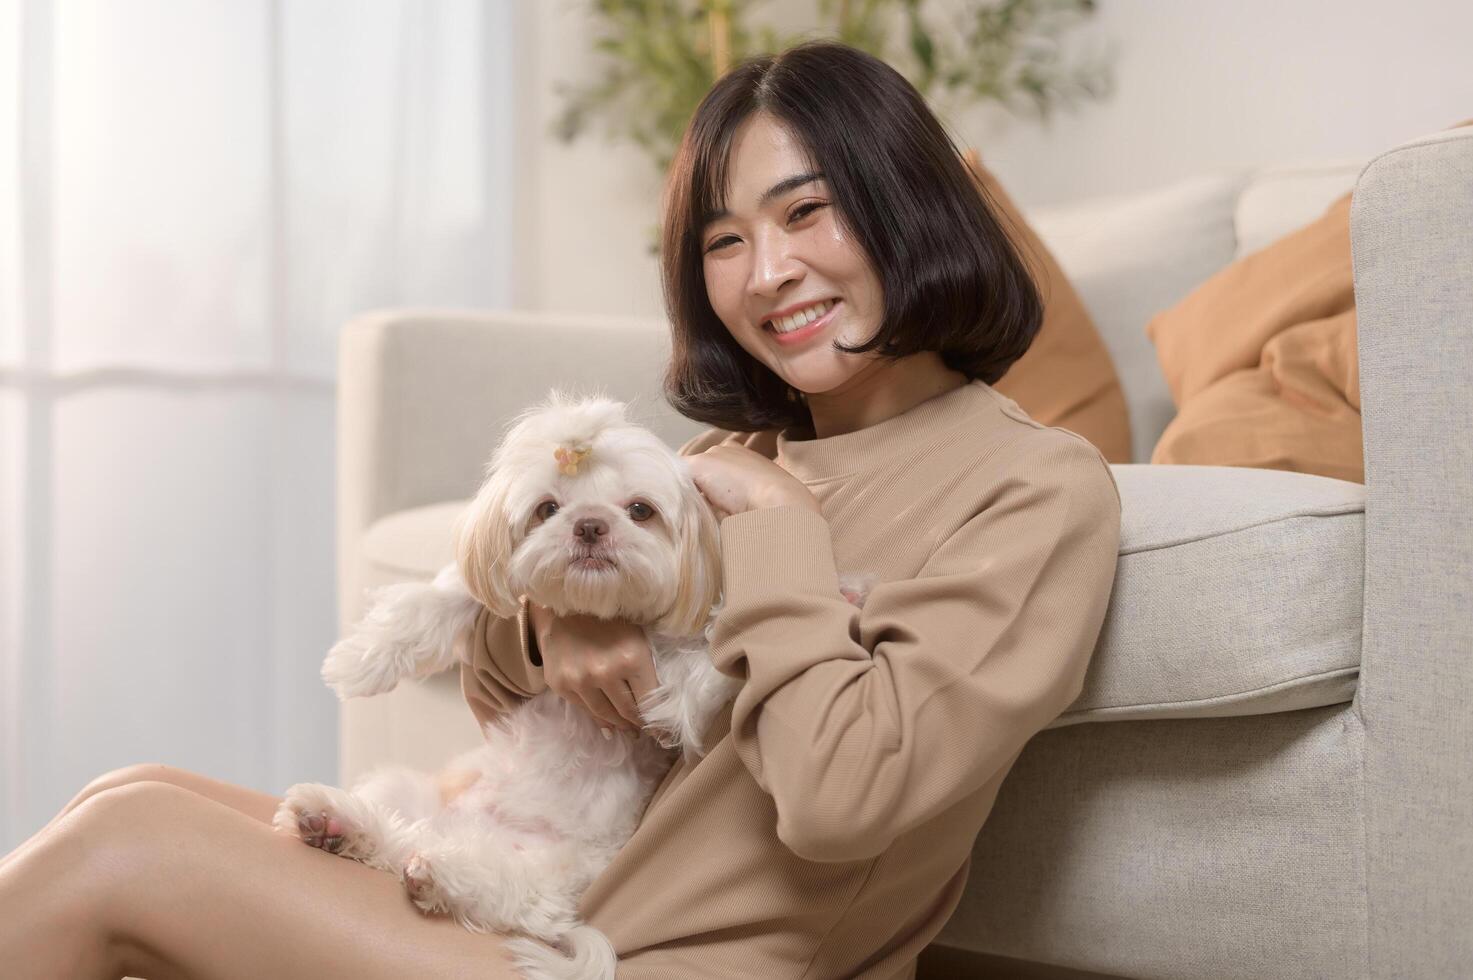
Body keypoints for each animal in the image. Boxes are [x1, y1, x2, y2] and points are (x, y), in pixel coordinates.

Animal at [275, 389, 866, 978]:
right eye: (547, 509)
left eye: (640, 510)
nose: (589, 525)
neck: (605, 614)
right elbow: (446, 594)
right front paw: (361, 659)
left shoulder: (675, 698)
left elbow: (715, 652)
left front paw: (838, 592)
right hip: (404, 789)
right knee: (399, 834)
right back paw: (337, 824)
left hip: (558, 872)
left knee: (509, 892)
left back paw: (432, 867)